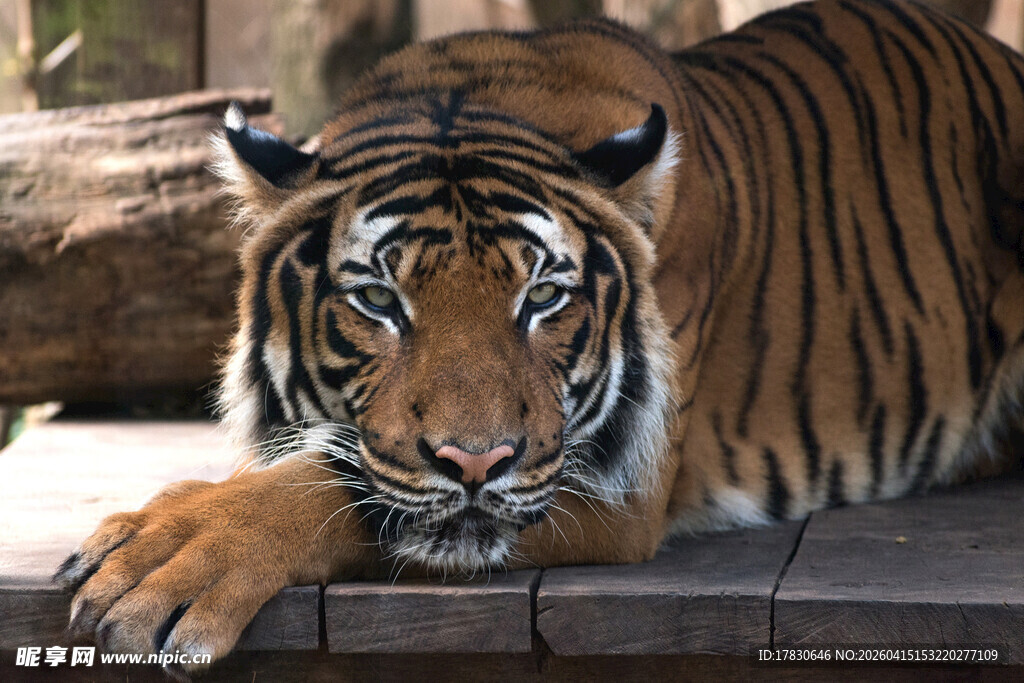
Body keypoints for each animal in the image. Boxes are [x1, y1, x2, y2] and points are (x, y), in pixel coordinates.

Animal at [55, 0, 1024, 672]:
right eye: (378, 298)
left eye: (544, 297)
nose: (478, 461)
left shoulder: (615, 482)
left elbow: (333, 484)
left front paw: (168, 553)